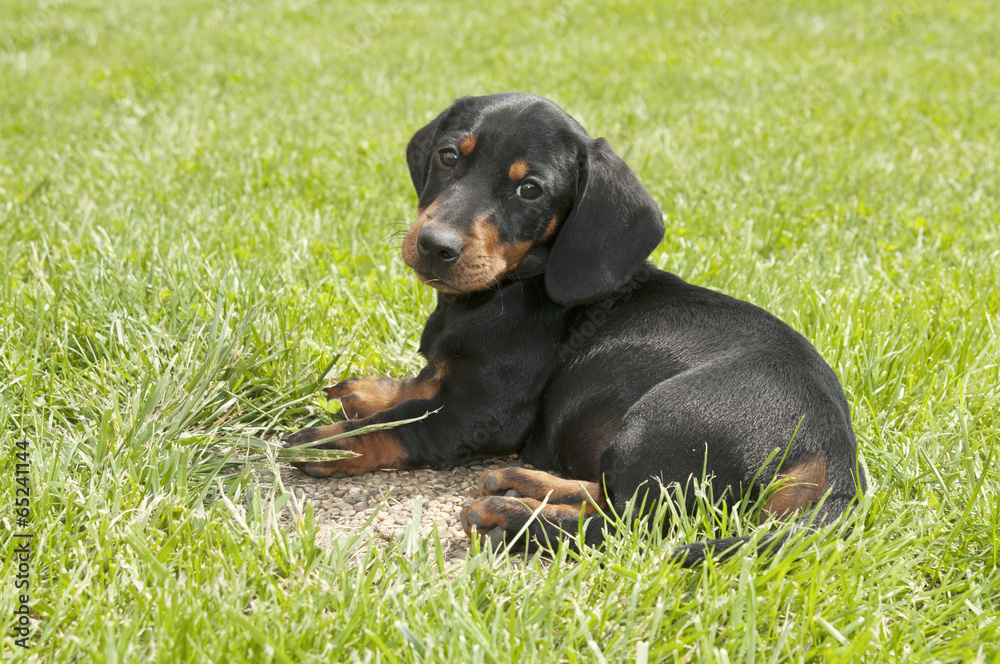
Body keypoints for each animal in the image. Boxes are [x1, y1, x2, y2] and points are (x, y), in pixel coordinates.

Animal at [284, 91, 868, 564]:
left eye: (530, 190)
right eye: (449, 156)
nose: (435, 246)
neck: (508, 288)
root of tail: (834, 457)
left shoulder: (484, 412)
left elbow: (403, 422)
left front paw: (330, 443)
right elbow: (421, 383)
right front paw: (364, 391)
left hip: (660, 418)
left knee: (629, 526)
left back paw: (510, 521)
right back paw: (519, 483)